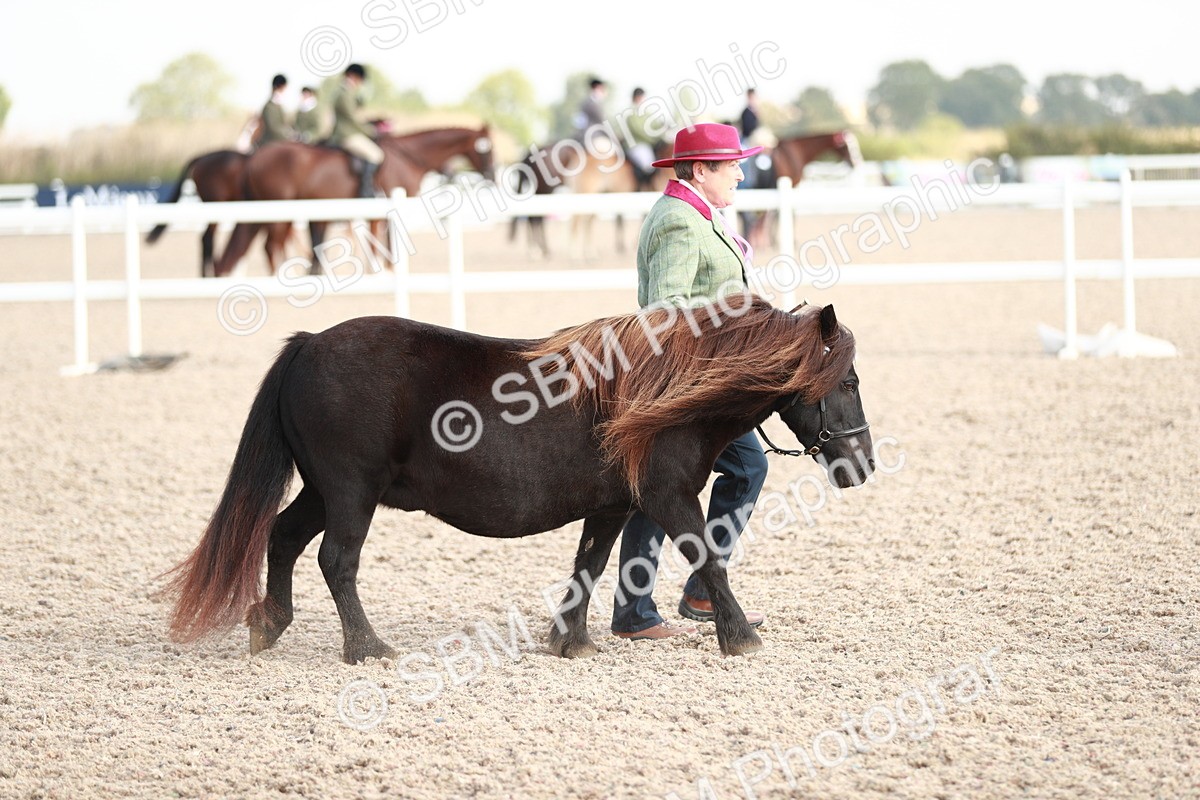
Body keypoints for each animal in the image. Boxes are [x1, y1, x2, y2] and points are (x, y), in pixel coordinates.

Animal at [161, 295, 874, 664]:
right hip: (350, 492)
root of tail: (309, 343)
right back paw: (367, 647)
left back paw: (270, 623)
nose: (862, 462)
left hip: (323, 491)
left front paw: (570, 639)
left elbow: (590, 565)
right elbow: (709, 560)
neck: (661, 391)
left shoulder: (613, 506)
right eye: (848, 381)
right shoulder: (669, 498)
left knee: (283, 538)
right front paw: (740, 635)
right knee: (336, 560)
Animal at [213, 126, 495, 277]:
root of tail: (254, 159)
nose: (492, 175)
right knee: (272, 246)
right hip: (278, 211)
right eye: (486, 149)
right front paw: (385, 269)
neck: (407, 157)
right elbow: (384, 242)